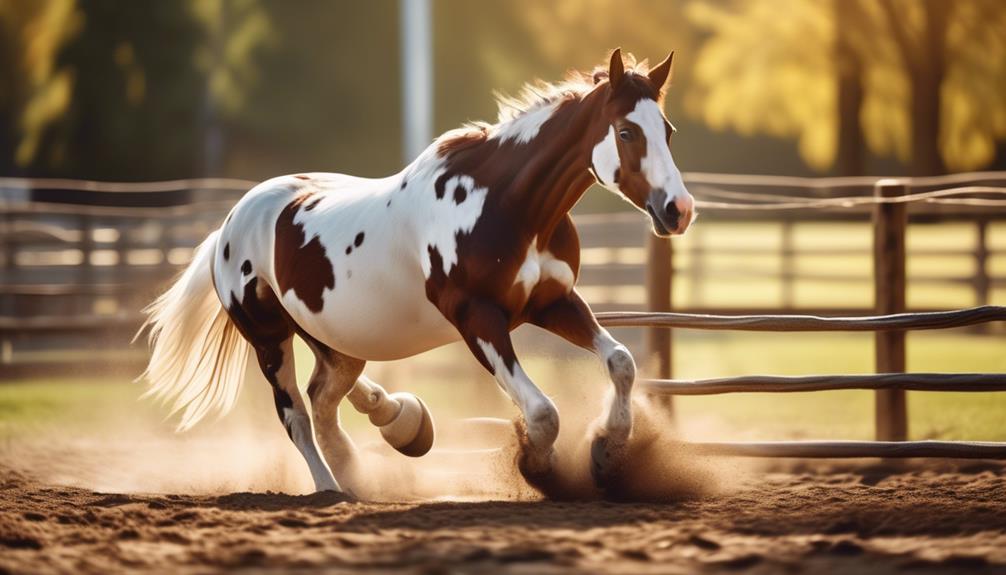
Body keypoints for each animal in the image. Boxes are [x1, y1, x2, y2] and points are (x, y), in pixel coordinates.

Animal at [139, 49, 692, 498]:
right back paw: (331, 487)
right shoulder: (478, 319)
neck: (507, 206)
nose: (678, 210)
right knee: (296, 414)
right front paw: (541, 469)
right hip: (269, 339)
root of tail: (230, 224)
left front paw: (605, 454)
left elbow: (621, 362)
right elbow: (542, 414)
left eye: (667, 131)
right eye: (626, 131)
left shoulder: (552, 302)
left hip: (333, 337)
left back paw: (390, 433)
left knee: (325, 397)